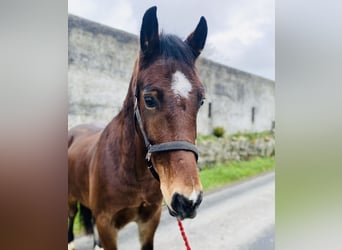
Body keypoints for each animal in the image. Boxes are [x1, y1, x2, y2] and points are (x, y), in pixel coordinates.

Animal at [68, 6, 207, 250]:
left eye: (201, 100)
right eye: (149, 99)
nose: (188, 200)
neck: (131, 170)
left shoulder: (149, 221)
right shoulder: (107, 225)